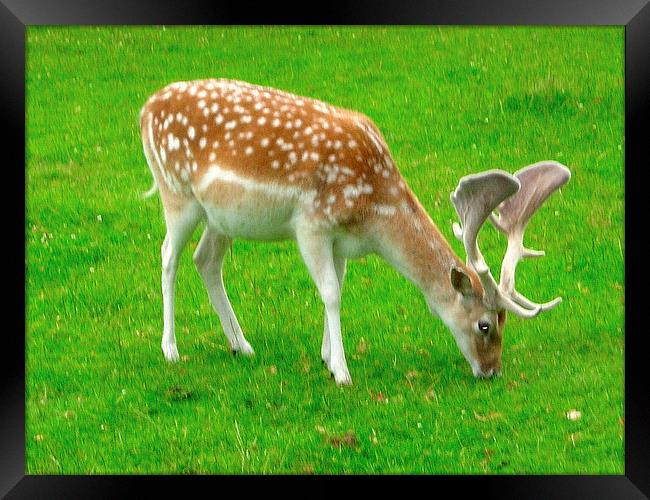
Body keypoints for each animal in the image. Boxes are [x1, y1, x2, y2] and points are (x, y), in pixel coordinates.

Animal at [138, 80, 568, 388]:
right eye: (485, 324)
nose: (492, 370)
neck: (372, 214)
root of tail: (144, 110)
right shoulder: (311, 224)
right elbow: (329, 292)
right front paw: (342, 373)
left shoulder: (340, 239)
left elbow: (339, 289)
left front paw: (327, 358)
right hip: (177, 193)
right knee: (168, 255)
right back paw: (171, 349)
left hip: (221, 217)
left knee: (206, 261)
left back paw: (241, 345)